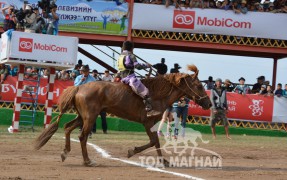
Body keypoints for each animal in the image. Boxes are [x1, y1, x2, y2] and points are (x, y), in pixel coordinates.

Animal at [35, 64, 213, 166]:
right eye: (199, 86)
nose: (209, 104)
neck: (157, 94)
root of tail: (79, 87)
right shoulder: (148, 123)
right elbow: (154, 141)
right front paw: (133, 152)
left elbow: (155, 142)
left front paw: (164, 161)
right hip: (90, 117)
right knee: (82, 136)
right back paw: (87, 161)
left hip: (82, 117)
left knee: (67, 127)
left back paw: (65, 152)